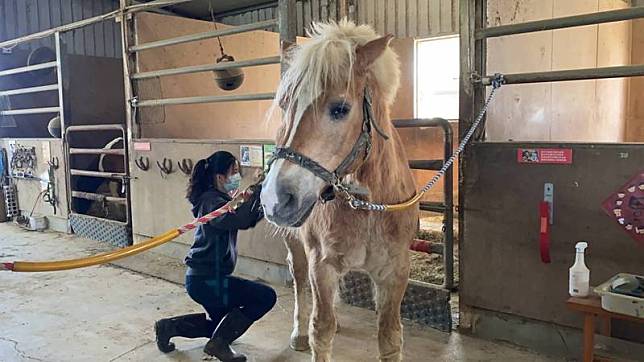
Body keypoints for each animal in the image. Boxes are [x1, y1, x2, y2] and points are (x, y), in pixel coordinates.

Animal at [262, 20, 418, 362]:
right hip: (296, 244)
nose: (274, 199)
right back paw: (298, 333)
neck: (369, 206)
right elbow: (321, 330)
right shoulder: (322, 265)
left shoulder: (395, 272)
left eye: (340, 109)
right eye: (285, 105)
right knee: (299, 280)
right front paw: (310, 333)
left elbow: (390, 337)